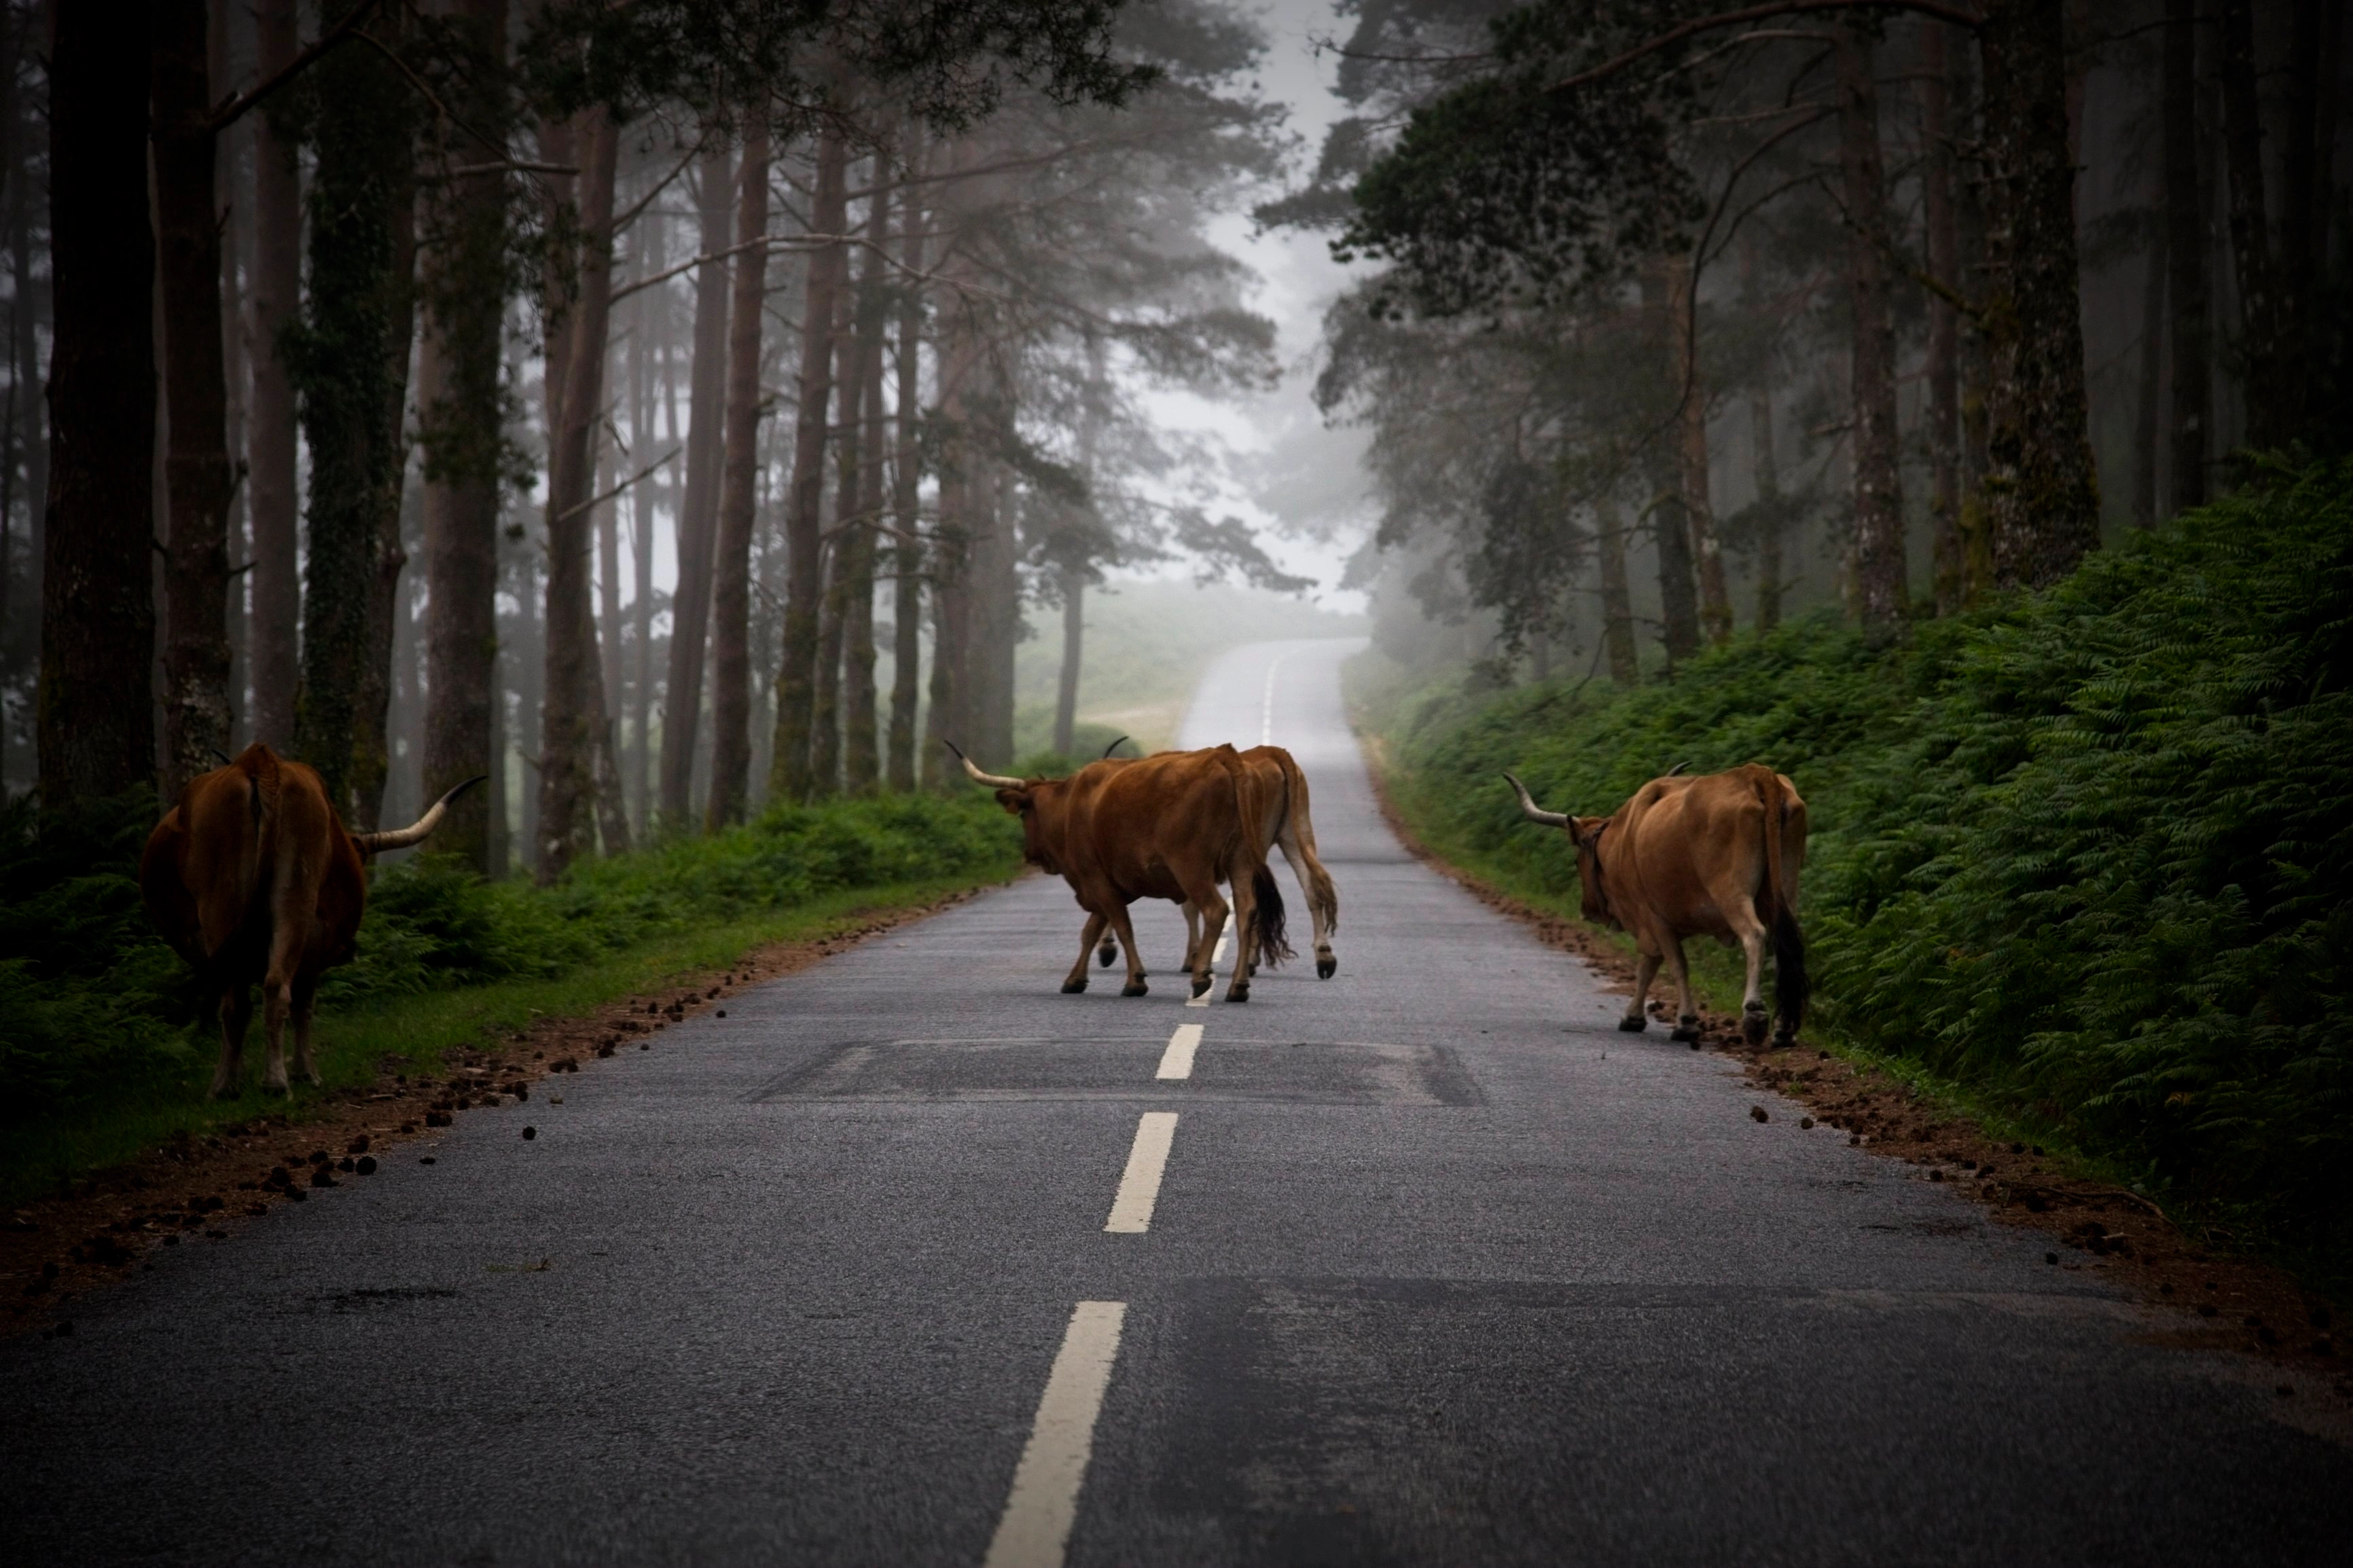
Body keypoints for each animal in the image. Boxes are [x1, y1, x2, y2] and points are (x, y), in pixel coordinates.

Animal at [141, 743, 482, 1097]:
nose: (350, 950)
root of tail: (260, 762)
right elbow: (301, 1006)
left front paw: (290, 1073)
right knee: (262, 996)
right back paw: (258, 1082)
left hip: (251, 904)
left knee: (253, 997)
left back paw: (249, 1084)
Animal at [953, 741, 1290, 1002]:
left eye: (1024, 814)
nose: (1029, 854)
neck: (1071, 803)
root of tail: (1222, 754)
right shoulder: (1107, 885)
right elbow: (1091, 931)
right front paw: (1075, 979)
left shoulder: (1095, 879)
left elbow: (1121, 926)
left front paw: (1135, 981)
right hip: (1241, 861)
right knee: (1246, 911)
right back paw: (1238, 986)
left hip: (1191, 866)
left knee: (1216, 909)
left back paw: (1200, 977)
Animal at [1092, 743, 1340, 982]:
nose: (1105, 951)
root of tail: (1273, 753)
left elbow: (1188, 907)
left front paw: (1193, 958)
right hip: (1296, 836)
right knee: (1311, 889)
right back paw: (1324, 957)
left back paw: (1250, 962)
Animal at [1504, 763, 1808, 1047]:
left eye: (1576, 861)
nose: (1586, 910)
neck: (1624, 836)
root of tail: (1755, 774)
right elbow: (1651, 966)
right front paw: (1636, 1016)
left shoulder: (1653, 917)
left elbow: (1668, 965)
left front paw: (1683, 1022)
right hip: (1786, 888)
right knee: (1785, 948)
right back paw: (1784, 1030)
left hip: (1730, 892)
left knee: (1755, 935)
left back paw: (1754, 1014)